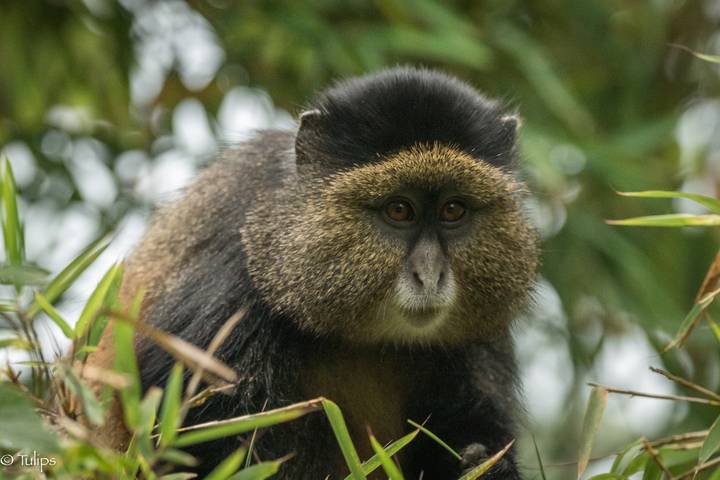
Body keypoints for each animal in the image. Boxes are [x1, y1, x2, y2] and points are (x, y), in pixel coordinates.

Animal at [86, 66, 539, 479]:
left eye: (453, 210)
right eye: (399, 210)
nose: (429, 276)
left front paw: (486, 466)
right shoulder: (234, 275)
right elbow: (187, 429)